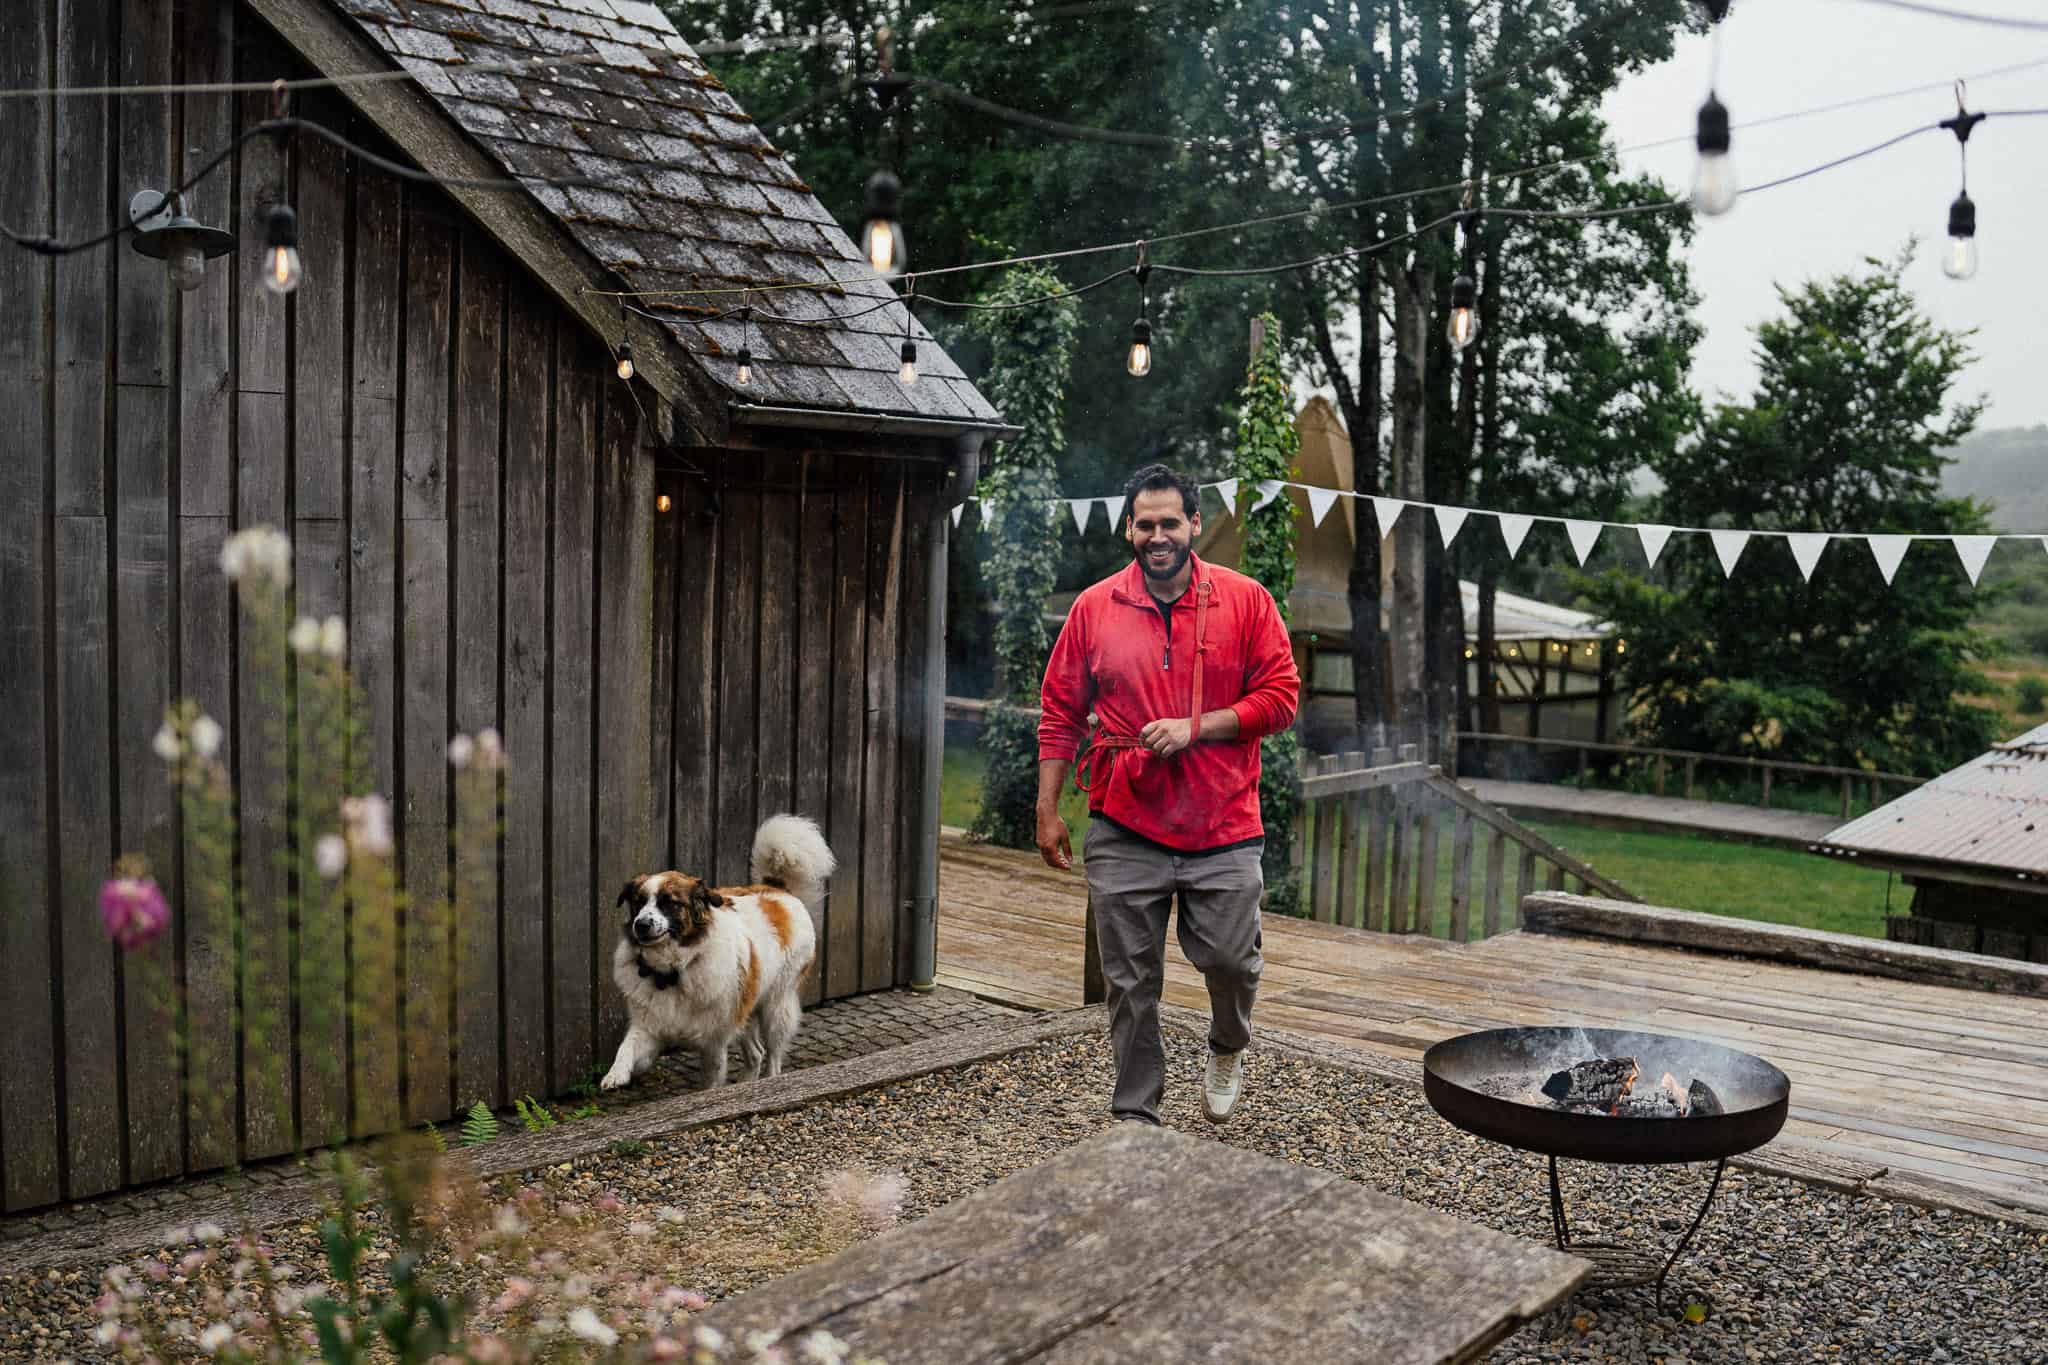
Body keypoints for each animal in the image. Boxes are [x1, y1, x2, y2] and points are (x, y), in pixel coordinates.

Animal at [598, 818, 831, 1096]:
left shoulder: (714, 1042)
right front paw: (616, 1074)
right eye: (639, 903)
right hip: (745, 1006)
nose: (641, 925)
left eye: (669, 903)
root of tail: (777, 889)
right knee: (756, 1053)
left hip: (776, 1007)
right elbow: (627, 1047)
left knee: (773, 1056)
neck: (674, 970)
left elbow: (711, 1079)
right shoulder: (649, 1027)